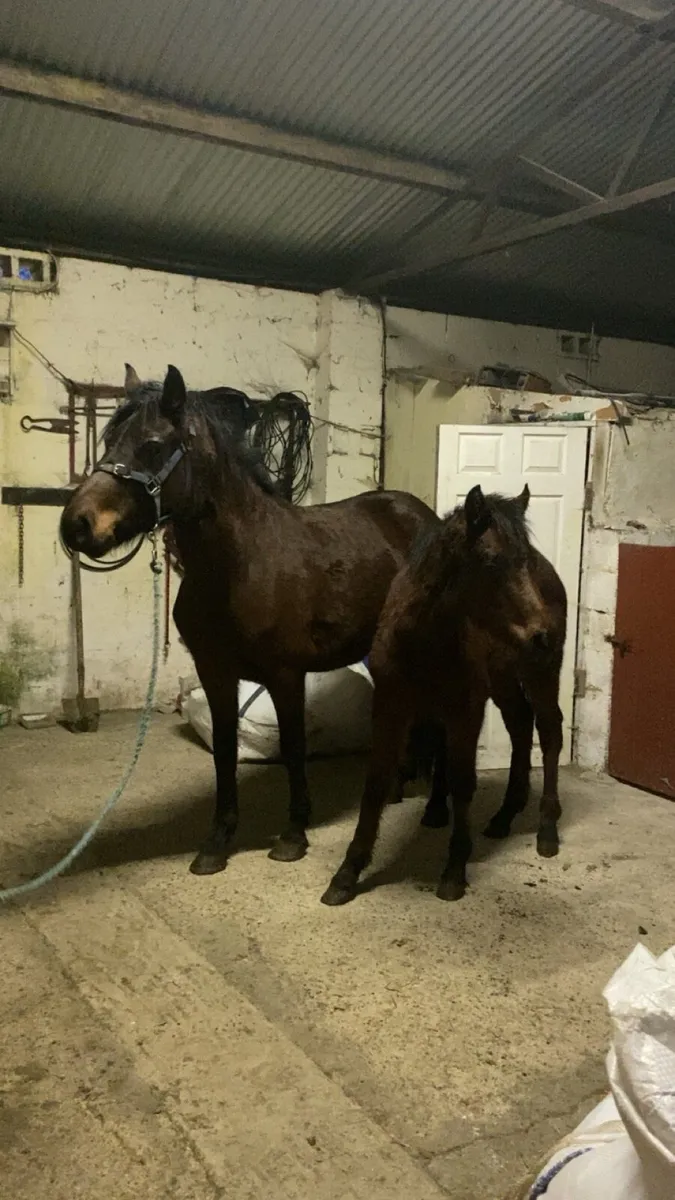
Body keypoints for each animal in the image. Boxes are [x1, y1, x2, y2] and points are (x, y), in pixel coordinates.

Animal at [60, 364, 440, 875]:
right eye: (106, 441)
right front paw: (217, 842)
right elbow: (224, 751)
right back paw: (399, 786)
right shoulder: (216, 672)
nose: (76, 526)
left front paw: (294, 834)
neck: (238, 564)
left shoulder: (285, 675)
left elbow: (294, 748)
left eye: (153, 445)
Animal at [321, 484, 567, 907]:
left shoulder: (465, 709)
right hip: (503, 680)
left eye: (524, 560)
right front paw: (347, 872)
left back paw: (546, 829)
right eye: (491, 560)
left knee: (549, 732)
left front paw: (454, 869)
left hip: (540, 674)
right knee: (521, 725)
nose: (542, 635)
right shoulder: (391, 706)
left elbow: (462, 779)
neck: (423, 636)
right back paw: (504, 815)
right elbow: (376, 782)